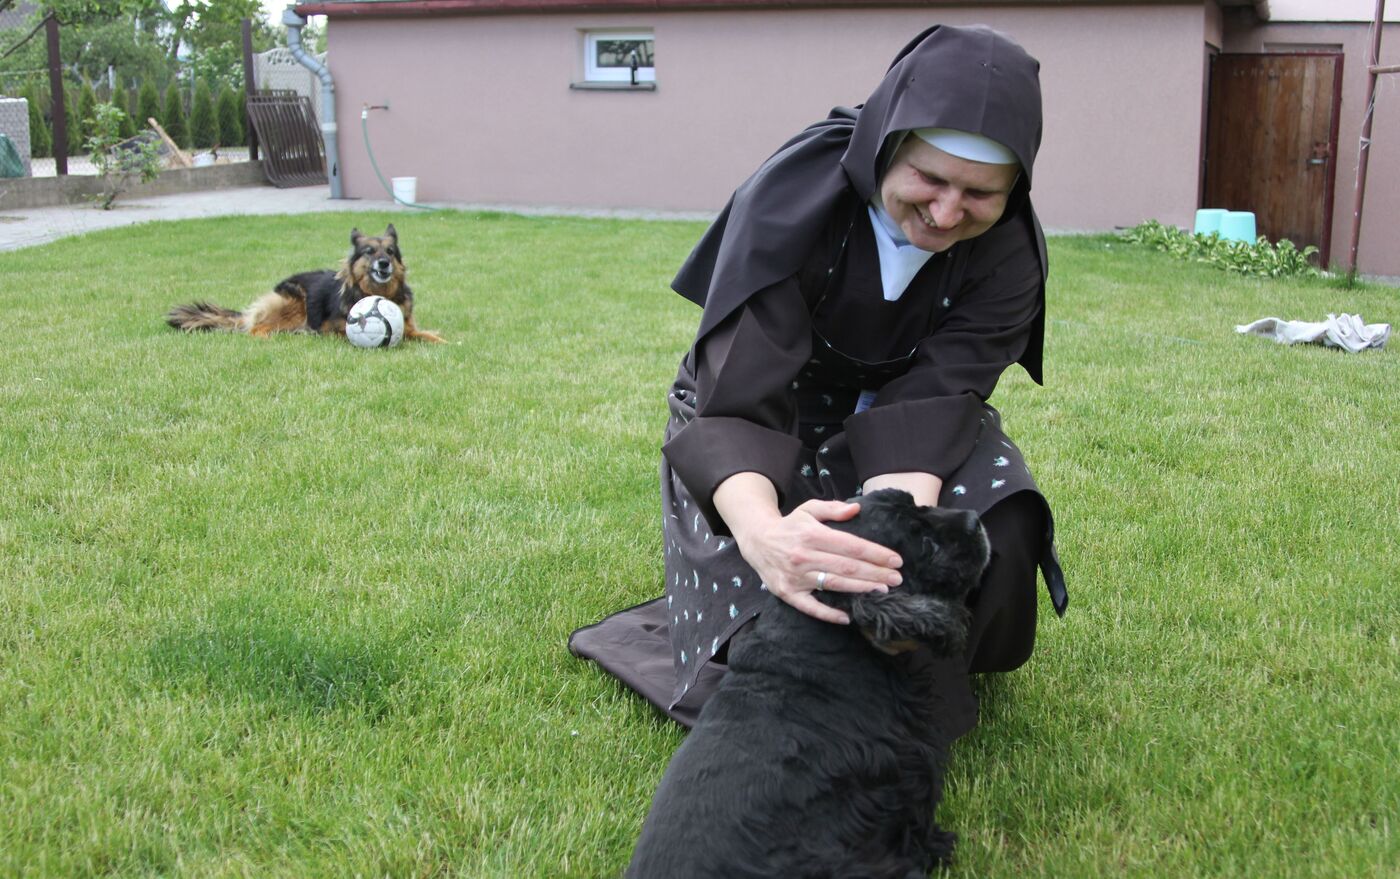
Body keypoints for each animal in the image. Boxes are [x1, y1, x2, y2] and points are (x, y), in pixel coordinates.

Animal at [166, 222, 445, 342]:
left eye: (389, 251)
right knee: (256, 329)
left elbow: (424, 335)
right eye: (369, 252)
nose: (384, 264)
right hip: (295, 304)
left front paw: (443, 340)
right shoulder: (331, 328)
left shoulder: (409, 326)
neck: (379, 292)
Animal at [630, 487, 991, 879]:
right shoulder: (905, 768)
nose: (974, 520)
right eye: (922, 540)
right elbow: (916, 817)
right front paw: (938, 847)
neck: (812, 640)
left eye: (917, 503)